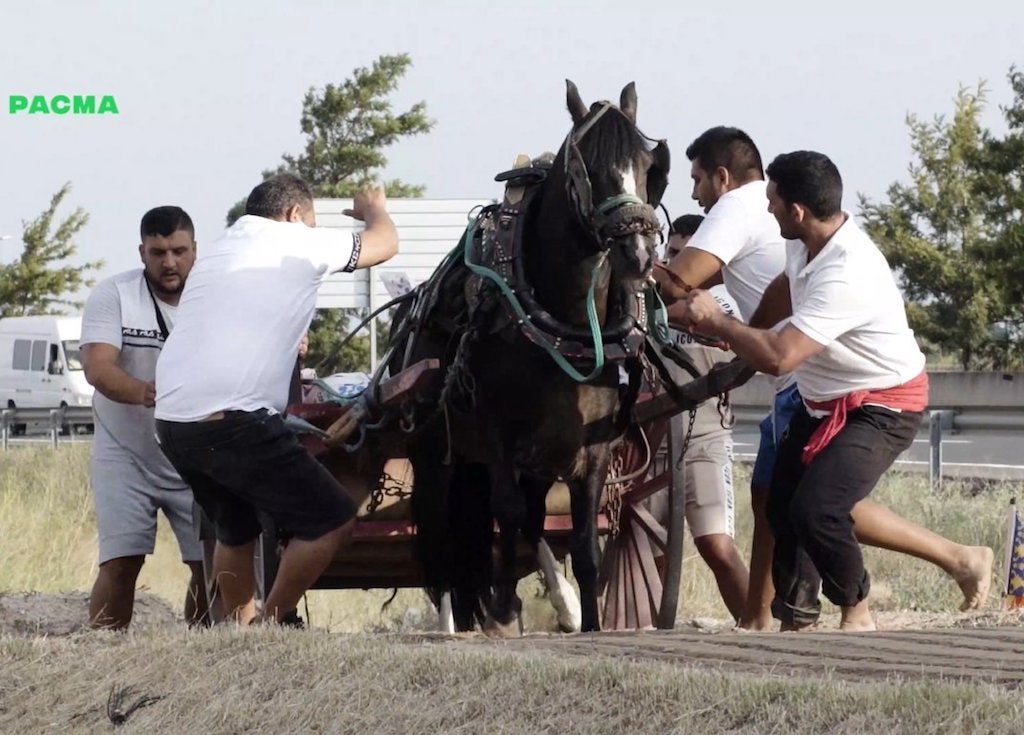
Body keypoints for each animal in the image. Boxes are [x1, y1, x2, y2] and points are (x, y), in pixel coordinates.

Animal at [387, 79, 667, 634]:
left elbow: (582, 542)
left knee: (526, 524)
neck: (565, 324)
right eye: (589, 166)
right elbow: (509, 516)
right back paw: (456, 621)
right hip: (436, 452)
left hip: (536, 456)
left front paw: (591, 621)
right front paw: (501, 609)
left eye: (649, 165)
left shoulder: (594, 447)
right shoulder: (497, 437)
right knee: (445, 538)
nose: (640, 255)